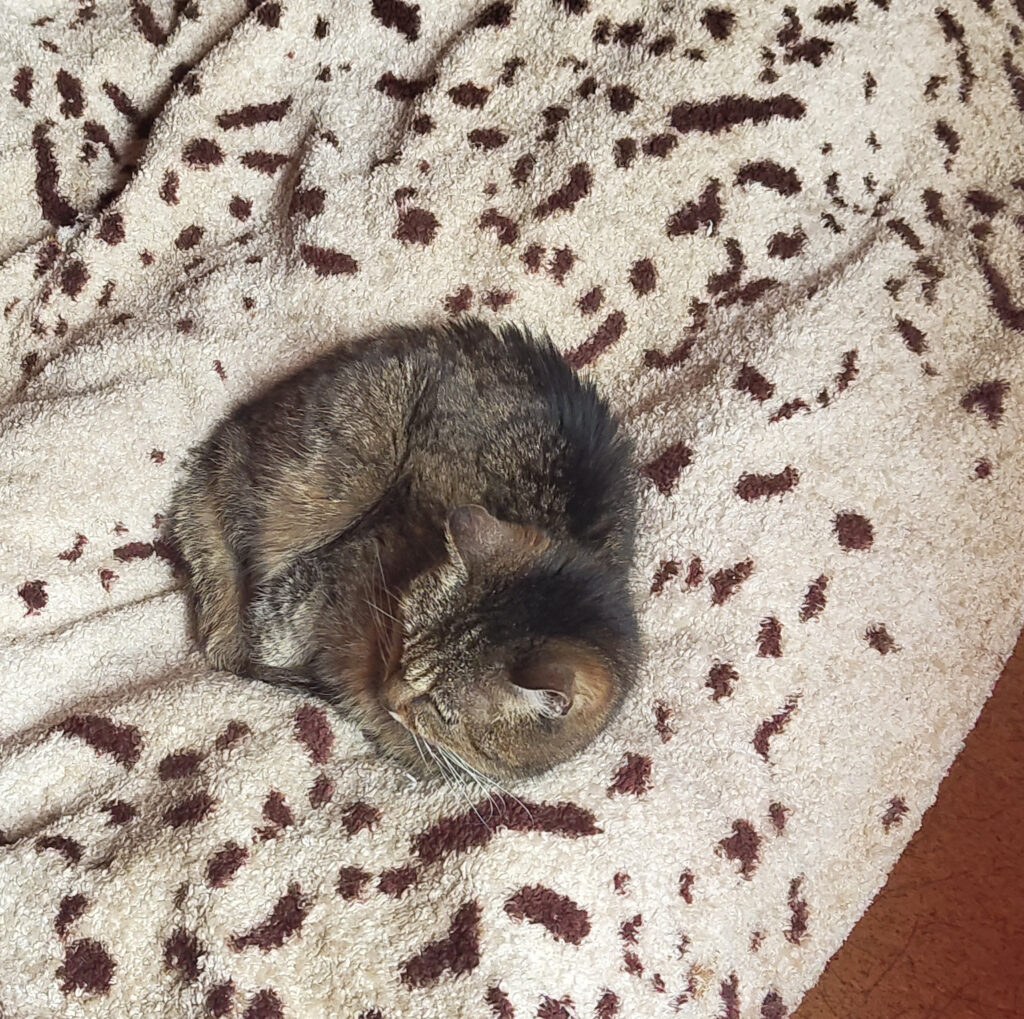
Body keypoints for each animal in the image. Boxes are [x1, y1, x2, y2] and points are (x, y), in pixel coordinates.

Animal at [167, 319, 640, 784]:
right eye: (405, 638)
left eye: (441, 711)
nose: (389, 698)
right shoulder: (312, 579)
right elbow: (272, 633)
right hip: (330, 472)